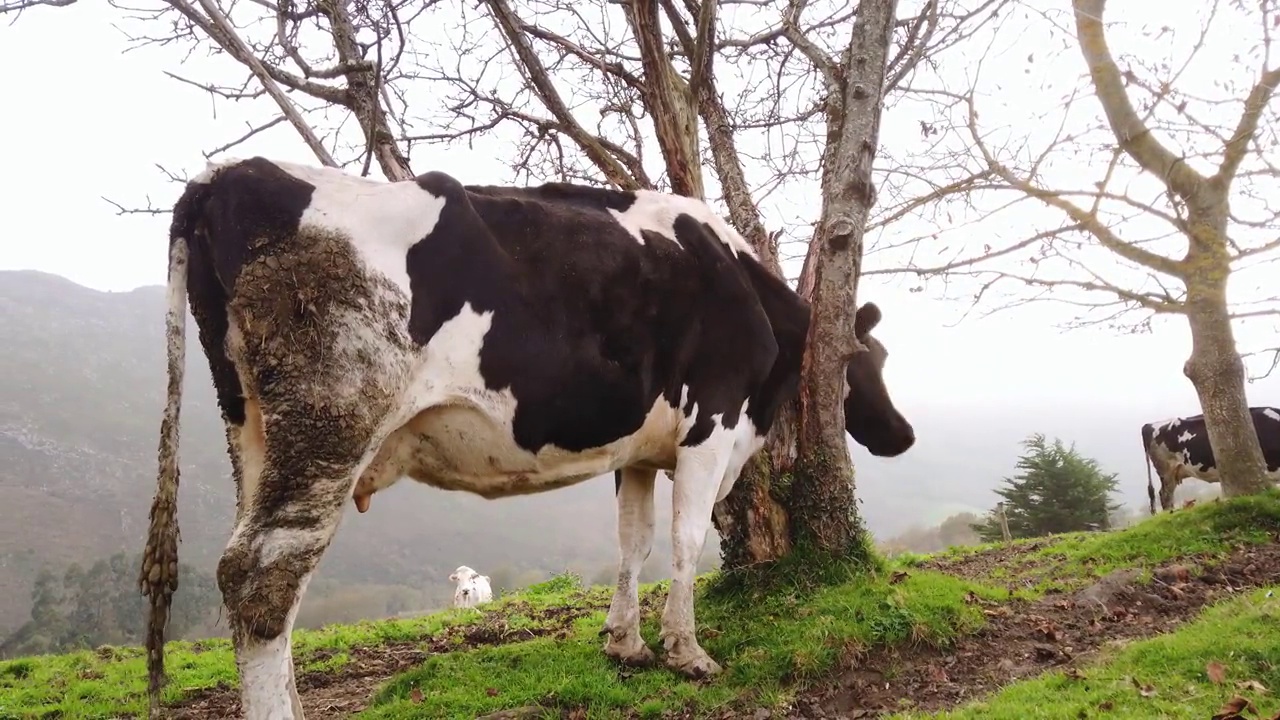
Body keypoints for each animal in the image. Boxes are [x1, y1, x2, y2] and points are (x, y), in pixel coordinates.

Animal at [142, 158, 921, 717]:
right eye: (868, 360)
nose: (904, 434)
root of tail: (229, 174)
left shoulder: (637, 450)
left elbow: (633, 542)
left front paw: (625, 644)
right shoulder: (714, 421)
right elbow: (685, 540)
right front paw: (686, 652)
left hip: (252, 428)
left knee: (255, 573)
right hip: (332, 417)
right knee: (261, 576)